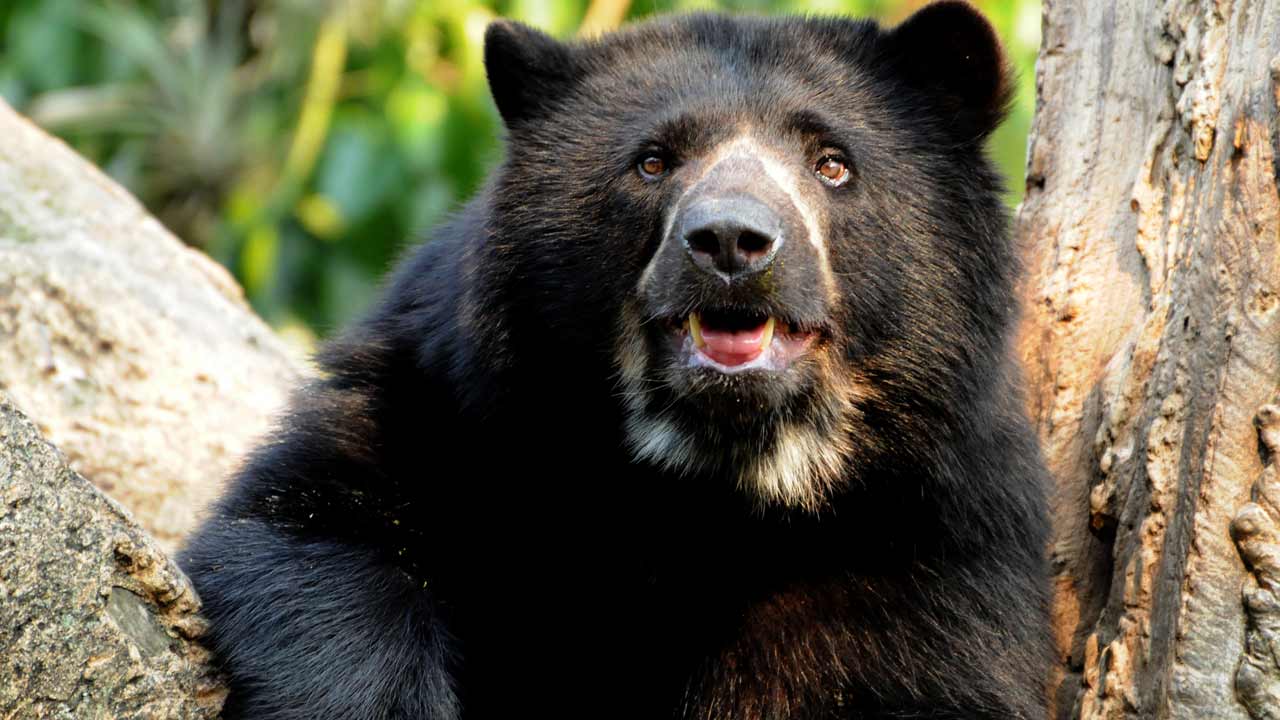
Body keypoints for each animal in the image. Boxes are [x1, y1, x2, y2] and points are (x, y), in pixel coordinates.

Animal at [180, 3, 1054, 718]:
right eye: (653, 162)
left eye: (832, 162)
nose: (730, 242)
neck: (704, 490)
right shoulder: (451, 409)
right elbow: (318, 533)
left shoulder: (931, 543)